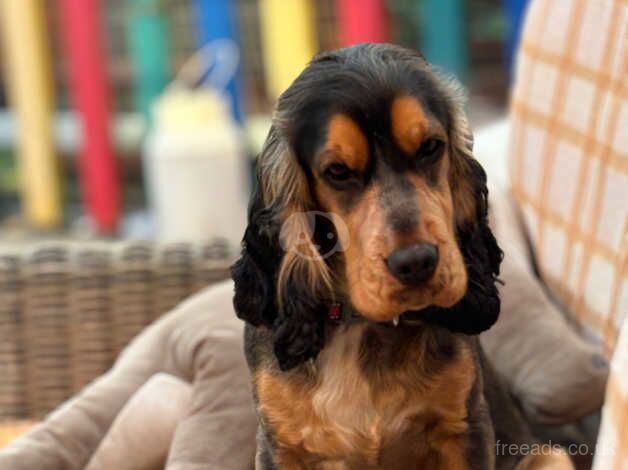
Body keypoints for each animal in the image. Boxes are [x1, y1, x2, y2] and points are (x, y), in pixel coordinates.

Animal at [232, 43, 576, 470]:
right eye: (338, 171)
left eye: (430, 147)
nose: (417, 263)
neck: (361, 325)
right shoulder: (281, 446)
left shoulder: (465, 426)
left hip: (548, 454)